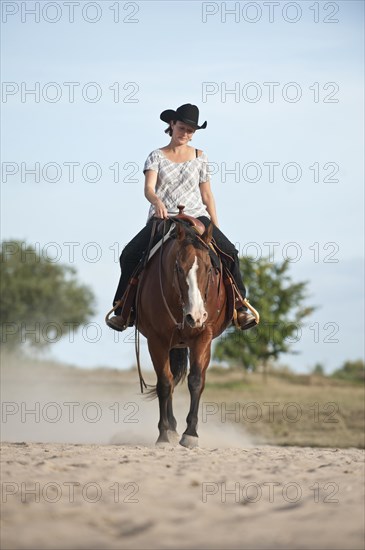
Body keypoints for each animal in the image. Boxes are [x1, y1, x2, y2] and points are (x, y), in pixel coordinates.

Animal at [135, 220, 229, 448]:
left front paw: (191, 434)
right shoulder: (156, 340)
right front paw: (164, 434)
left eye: (209, 268)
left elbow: (195, 380)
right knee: (168, 380)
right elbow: (164, 383)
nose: (195, 316)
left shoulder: (203, 335)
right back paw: (171, 427)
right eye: (178, 267)